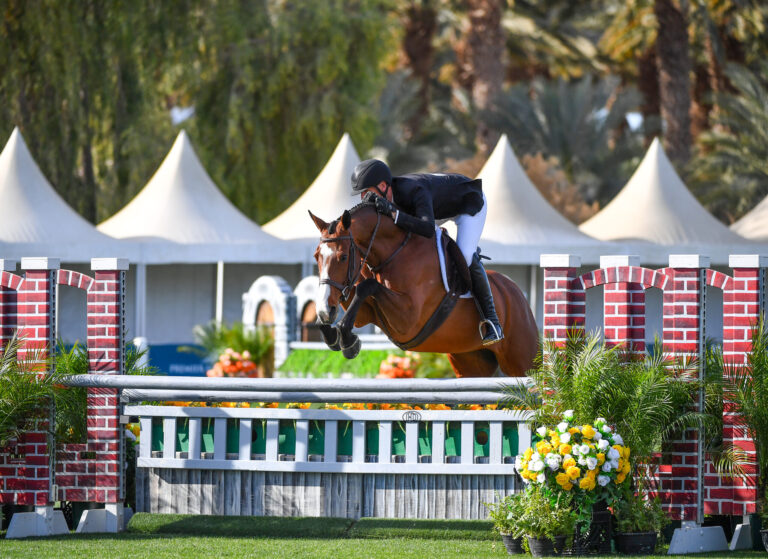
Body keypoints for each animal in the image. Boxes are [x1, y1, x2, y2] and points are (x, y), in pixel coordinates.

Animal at [308, 199, 536, 378]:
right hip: (470, 361)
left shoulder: (408, 319)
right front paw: (331, 331)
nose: (326, 310)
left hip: (522, 360)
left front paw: (347, 341)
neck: (394, 252)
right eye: (316, 256)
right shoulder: (365, 313)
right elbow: (356, 295)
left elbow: (366, 286)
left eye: (343, 257)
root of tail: (516, 292)